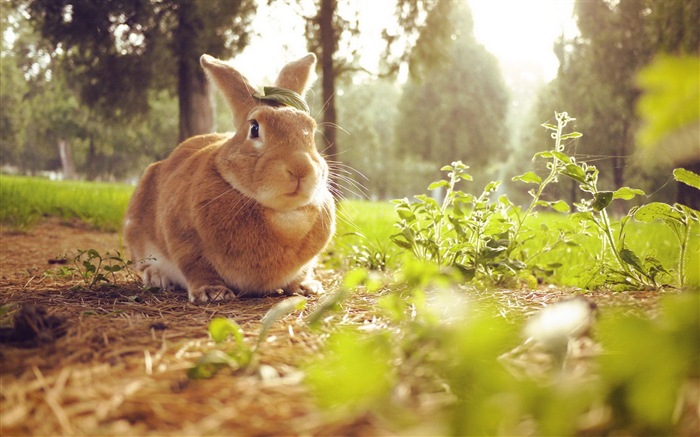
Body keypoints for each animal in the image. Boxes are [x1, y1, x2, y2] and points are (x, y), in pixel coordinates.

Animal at [123, 52, 336, 304]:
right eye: (254, 129)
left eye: (311, 131)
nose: (300, 167)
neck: (283, 215)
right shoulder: (184, 241)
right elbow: (196, 267)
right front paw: (212, 292)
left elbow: (302, 273)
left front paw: (307, 287)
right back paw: (158, 277)